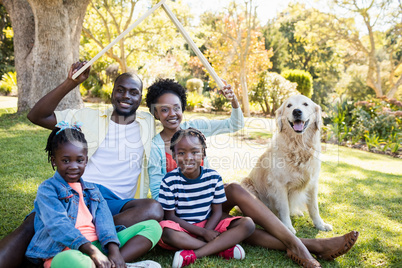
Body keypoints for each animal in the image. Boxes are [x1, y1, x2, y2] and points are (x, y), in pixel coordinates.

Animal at [242, 95, 332, 233]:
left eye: (305, 104)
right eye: (289, 105)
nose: (297, 111)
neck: (298, 146)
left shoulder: (312, 184)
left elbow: (314, 208)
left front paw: (320, 224)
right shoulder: (279, 185)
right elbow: (284, 209)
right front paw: (287, 227)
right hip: (246, 184)